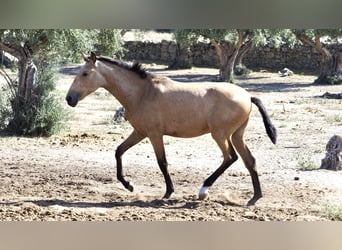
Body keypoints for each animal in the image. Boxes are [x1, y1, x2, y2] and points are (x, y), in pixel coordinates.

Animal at [65, 52, 276, 205]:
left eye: (85, 73)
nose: (69, 98)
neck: (142, 93)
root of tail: (248, 96)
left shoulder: (154, 134)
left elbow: (162, 162)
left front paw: (168, 192)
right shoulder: (140, 132)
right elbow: (119, 151)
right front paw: (129, 185)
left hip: (220, 134)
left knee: (230, 157)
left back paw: (203, 190)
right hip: (236, 135)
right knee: (250, 161)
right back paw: (254, 198)